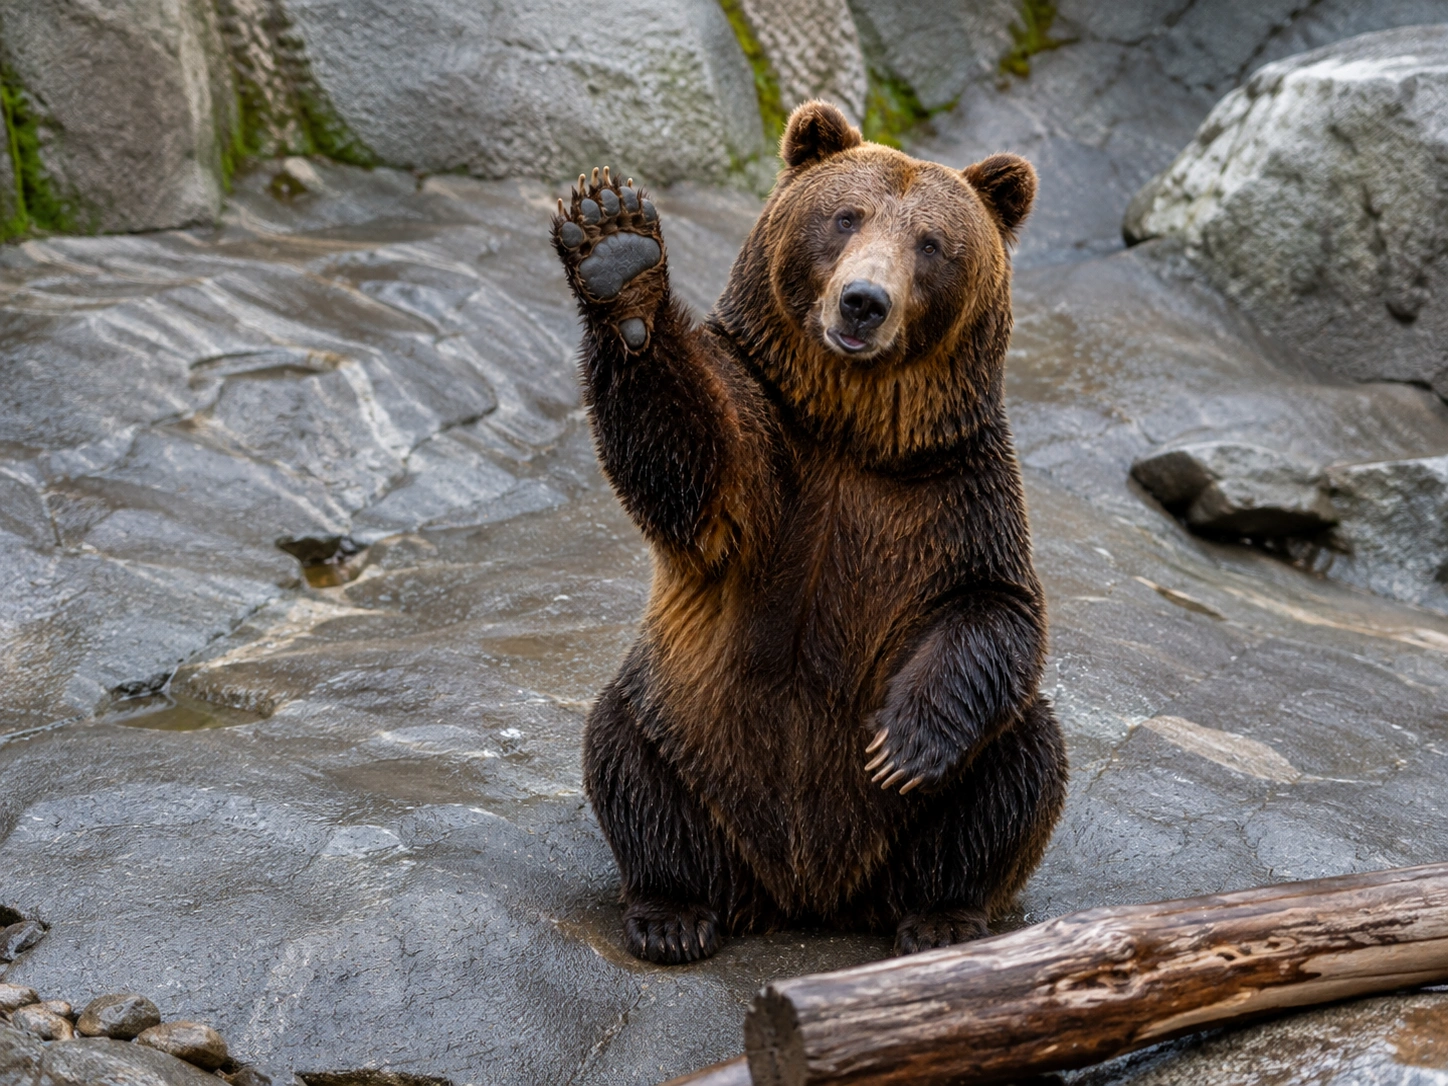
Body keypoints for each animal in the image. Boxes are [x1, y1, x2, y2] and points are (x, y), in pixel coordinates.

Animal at [551, 100, 1068, 964]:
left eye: (933, 243)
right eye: (845, 216)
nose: (864, 300)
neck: (852, 431)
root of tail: (806, 892)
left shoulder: (955, 487)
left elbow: (995, 606)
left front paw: (903, 745)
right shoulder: (770, 445)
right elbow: (689, 472)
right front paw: (615, 247)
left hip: (921, 817)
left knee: (1020, 766)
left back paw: (941, 920)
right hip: (682, 731)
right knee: (625, 760)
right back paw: (673, 913)